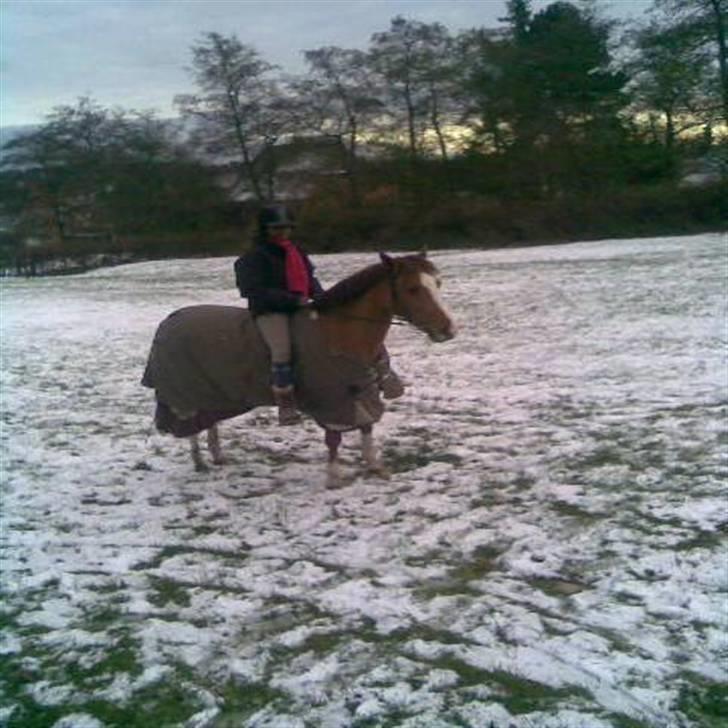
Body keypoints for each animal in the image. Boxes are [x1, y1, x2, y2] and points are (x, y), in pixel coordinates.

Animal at [142, 252, 457, 485]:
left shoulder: (359, 390)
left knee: (209, 420)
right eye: (412, 289)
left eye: (438, 283)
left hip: (213, 392)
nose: (448, 330)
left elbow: (367, 426)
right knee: (192, 423)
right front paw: (334, 477)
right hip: (186, 390)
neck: (340, 332)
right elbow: (334, 439)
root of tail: (170, 320)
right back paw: (199, 461)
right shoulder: (333, 399)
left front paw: (374, 466)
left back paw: (216, 456)